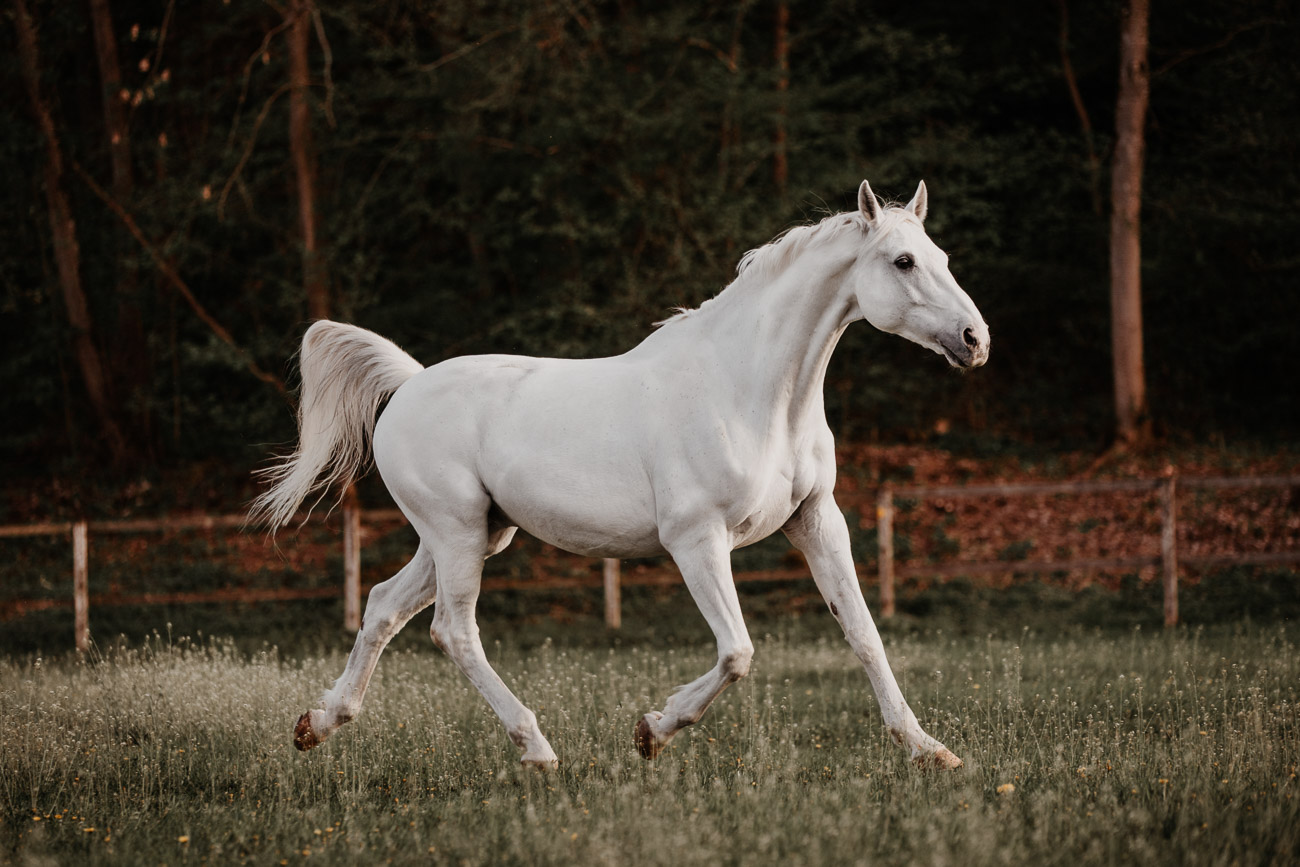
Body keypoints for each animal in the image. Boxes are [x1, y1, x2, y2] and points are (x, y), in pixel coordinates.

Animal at [250, 179, 982, 769]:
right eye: (903, 260)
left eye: (944, 258)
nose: (976, 340)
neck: (748, 390)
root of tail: (408, 384)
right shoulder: (696, 540)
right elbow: (737, 651)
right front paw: (652, 731)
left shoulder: (816, 521)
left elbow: (863, 634)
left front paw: (930, 750)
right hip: (455, 533)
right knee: (452, 631)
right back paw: (538, 750)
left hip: (476, 534)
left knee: (382, 606)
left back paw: (318, 724)